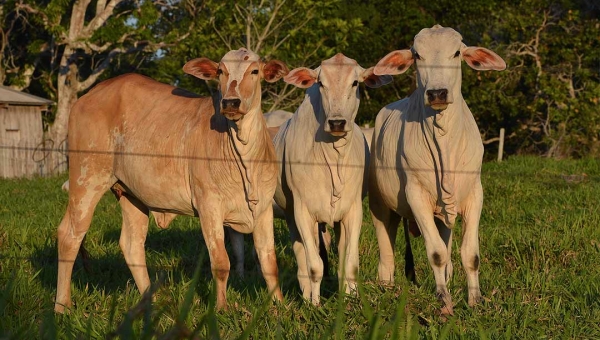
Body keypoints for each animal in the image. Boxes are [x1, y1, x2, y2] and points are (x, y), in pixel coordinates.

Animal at [55, 48, 290, 314]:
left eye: (255, 71)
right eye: (220, 71)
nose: (230, 102)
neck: (244, 155)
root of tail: (87, 97)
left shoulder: (264, 209)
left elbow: (269, 261)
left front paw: (279, 305)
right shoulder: (209, 206)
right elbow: (221, 262)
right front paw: (220, 308)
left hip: (131, 194)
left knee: (132, 244)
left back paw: (150, 301)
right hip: (86, 179)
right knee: (69, 236)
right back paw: (62, 305)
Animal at [274, 53, 394, 306]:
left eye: (355, 83)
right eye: (321, 83)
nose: (337, 123)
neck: (332, 156)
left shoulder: (353, 211)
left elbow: (349, 264)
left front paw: (351, 300)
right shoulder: (302, 212)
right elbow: (314, 266)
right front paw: (314, 304)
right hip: (291, 215)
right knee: (302, 258)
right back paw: (307, 295)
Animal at [368, 25, 504, 314]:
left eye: (457, 53)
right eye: (417, 55)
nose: (437, 93)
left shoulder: (475, 194)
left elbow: (470, 254)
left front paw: (475, 299)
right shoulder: (416, 196)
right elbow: (436, 253)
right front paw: (443, 299)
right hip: (379, 204)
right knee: (387, 249)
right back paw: (386, 286)